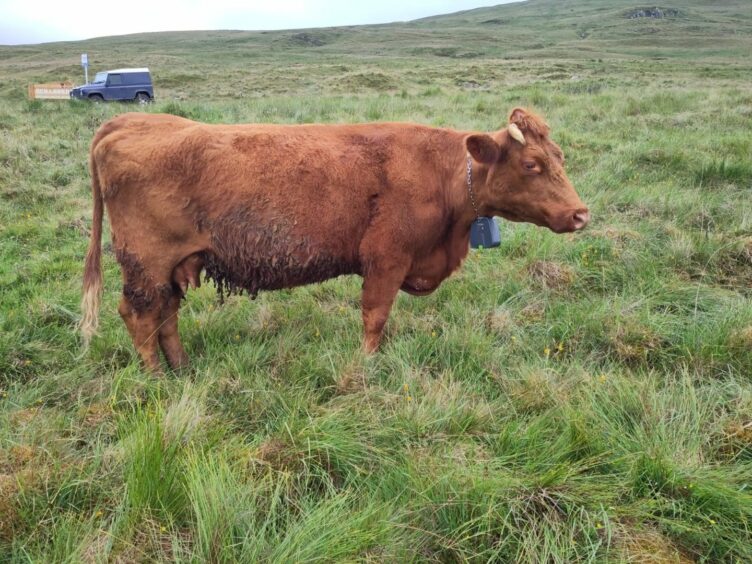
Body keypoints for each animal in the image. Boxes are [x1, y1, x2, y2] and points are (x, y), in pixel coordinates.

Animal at [81, 106, 588, 372]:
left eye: (560, 156)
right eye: (531, 165)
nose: (580, 214)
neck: (439, 171)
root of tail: (126, 121)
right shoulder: (386, 260)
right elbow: (375, 318)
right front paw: (366, 367)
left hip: (172, 267)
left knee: (166, 316)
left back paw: (184, 368)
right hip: (145, 264)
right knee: (139, 315)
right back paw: (156, 378)